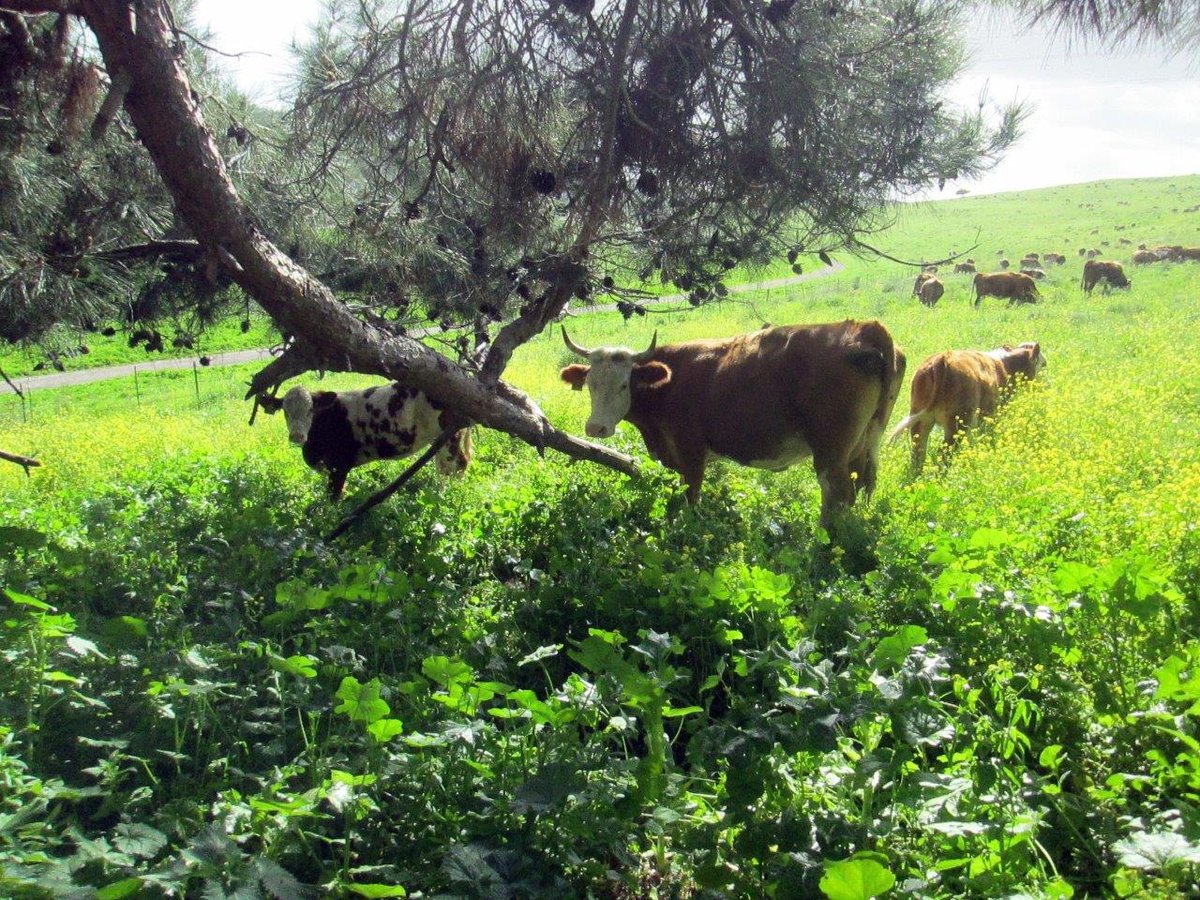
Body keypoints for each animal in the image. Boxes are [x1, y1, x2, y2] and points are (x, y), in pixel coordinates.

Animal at [271, 381, 472, 501]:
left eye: (311, 410)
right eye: (285, 411)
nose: (297, 435)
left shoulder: (340, 464)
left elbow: (334, 495)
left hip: (451, 435)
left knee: (455, 465)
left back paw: (450, 495)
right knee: (444, 467)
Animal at [556, 321, 902, 525]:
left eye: (624, 385)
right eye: (591, 384)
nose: (596, 428)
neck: (670, 380)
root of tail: (866, 329)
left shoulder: (691, 453)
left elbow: (691, 497)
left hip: (830, 453)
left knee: (838, 496)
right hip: (862, 445)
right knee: (860, 486)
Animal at [888, 343, 1046, 475]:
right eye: (1044, 364)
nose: (1047, 384)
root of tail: (942, 359)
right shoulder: (990, 418)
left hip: (922, 420)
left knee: (919, 450)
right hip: (957, 423)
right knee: (944, 452)